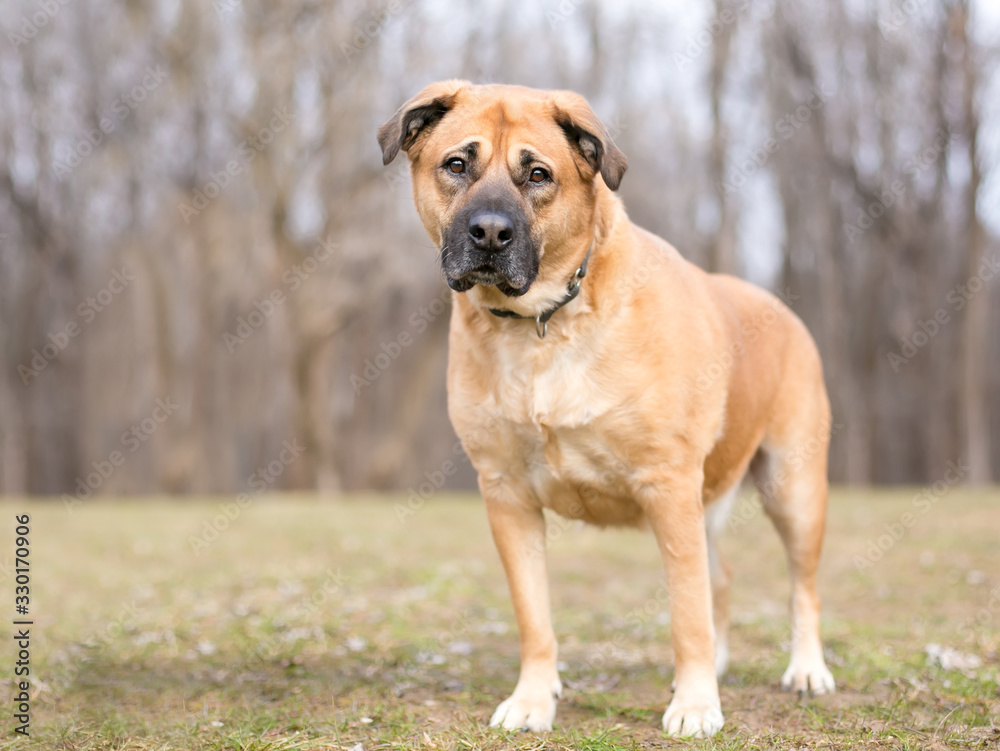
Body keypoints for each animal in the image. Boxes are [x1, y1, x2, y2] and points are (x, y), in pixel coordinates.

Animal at [376, 79, 836, 736]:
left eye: (537, 174)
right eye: (457, 165)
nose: (489, 233)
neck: (543, 323)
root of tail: (779, 306)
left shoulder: (669, 486)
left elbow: (686, 612)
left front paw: (695, 705)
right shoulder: (507, 495)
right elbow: (534, 614)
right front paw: (533, 699)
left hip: (791, 488)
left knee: (801, 584)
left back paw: (805, 670)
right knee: (720, 578)